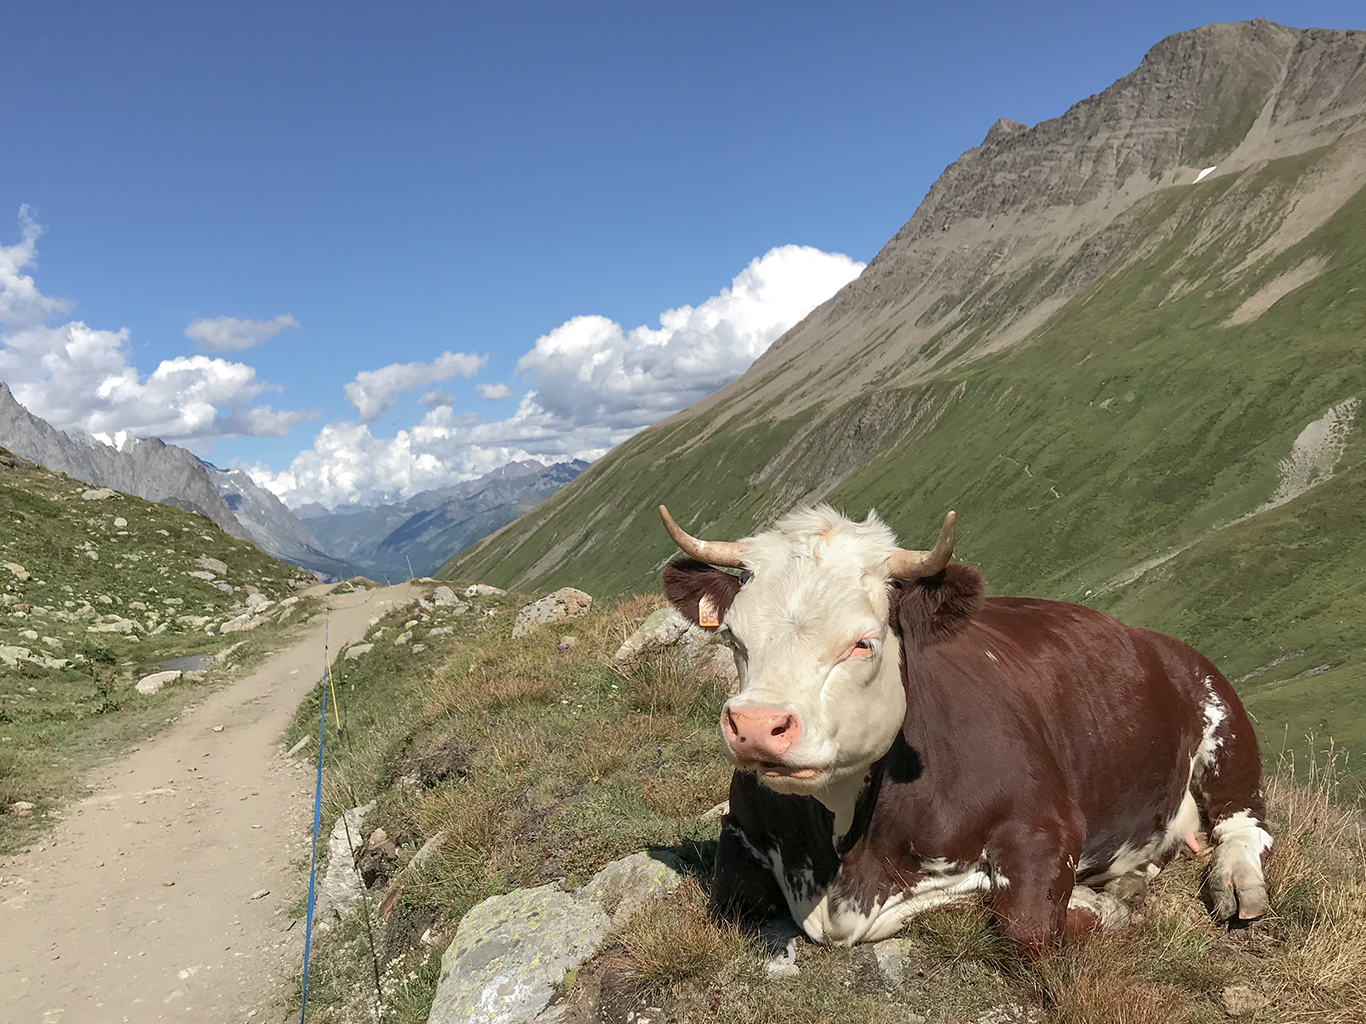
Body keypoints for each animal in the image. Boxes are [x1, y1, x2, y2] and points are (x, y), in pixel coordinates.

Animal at [658, 505, 1267, 961]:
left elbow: (1029, 927)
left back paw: (1236, 883)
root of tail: (1151, 638)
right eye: (733, 637)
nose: (757, 726)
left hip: (1221, 713)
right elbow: (734, 897)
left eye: (862, 643)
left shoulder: (1042, 822)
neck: (845, 870)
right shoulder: (740, 823)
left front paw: (1104, 908)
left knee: (1243, 821)